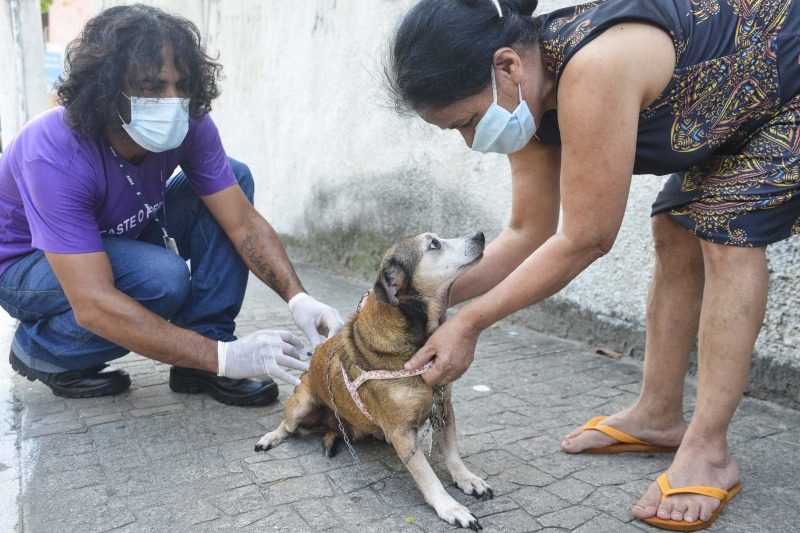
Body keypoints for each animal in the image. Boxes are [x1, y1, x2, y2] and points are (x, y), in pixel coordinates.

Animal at [260, 232, 490, 528]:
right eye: (434, 244)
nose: (480, 235)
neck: (416, 338)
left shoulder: (444, 407)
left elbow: (452, 452)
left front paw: (467, 479)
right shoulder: (402, 432)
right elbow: (427, 475)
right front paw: (449, 507)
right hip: (300, 405)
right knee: (287, 426)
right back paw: (271, 437)